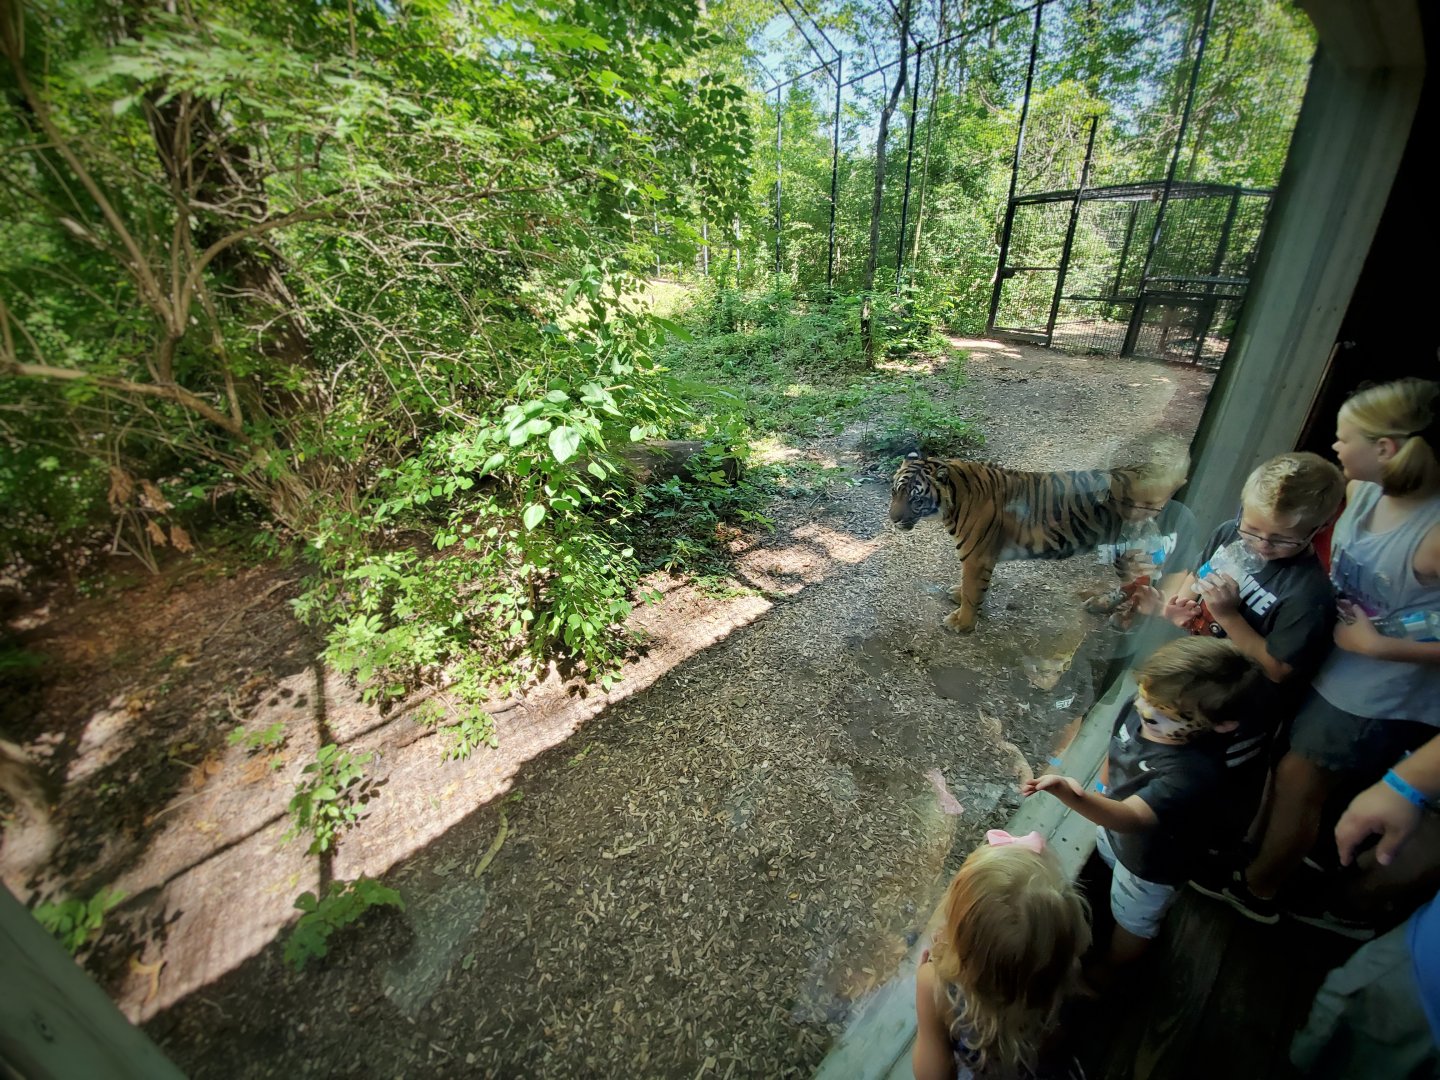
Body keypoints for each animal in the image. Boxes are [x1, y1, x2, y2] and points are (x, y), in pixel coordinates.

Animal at [888, 452, 1160, 632]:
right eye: (895, 491)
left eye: (916, 499)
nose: (893, 518)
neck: (954, 498)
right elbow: (972, 586)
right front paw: (960, 595)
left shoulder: (976, 556)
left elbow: (973, 589)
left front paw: (962, 622)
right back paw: (1102, 604)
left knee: (1149, 585)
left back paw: (1124, 620)